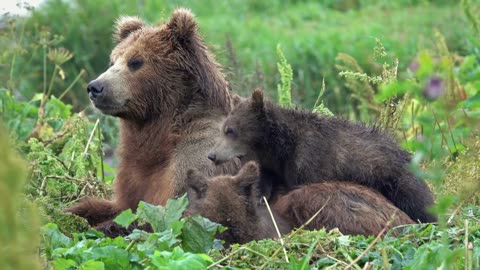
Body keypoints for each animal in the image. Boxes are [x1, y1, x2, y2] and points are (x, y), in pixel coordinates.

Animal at [66, 8, 240, 227]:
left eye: (135, 61)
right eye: (113, 60)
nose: (95, 87)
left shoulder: (198, 159)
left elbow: (168, 218)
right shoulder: (133, 172)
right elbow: (121, 205)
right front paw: (71, 210)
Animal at [208, 89, 436, 224]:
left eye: (230, 130)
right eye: (223, 128)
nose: (212, 155)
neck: (278, 147)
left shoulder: (310, 161)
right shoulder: (271, 166)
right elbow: (263, 187)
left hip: (398, 180)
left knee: (419, 203)